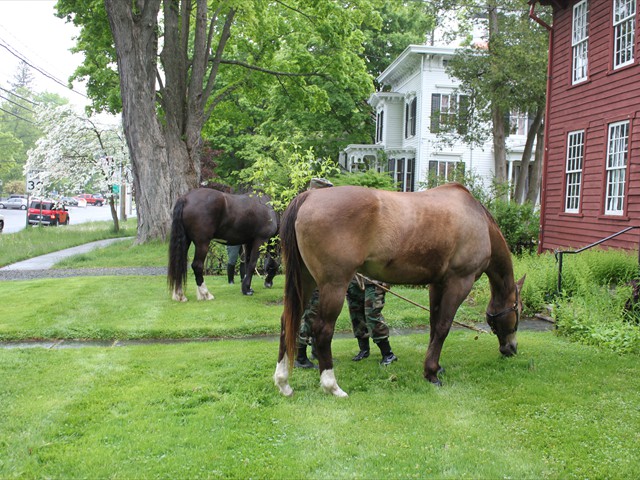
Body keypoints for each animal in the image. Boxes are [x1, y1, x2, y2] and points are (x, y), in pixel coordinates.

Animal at [273, 183, 525, 397]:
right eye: (518, 310)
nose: (512, 348)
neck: (477, 220)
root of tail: (309, 197)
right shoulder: (459, 282)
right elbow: (443, 327)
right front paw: (431, 374)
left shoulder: (437, 284)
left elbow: (434, 325)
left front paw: (435, 367)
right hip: (333, 285)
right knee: (322, 330)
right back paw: (332, 386)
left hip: (305, 282)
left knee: (287, 323)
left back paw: (283, 383)